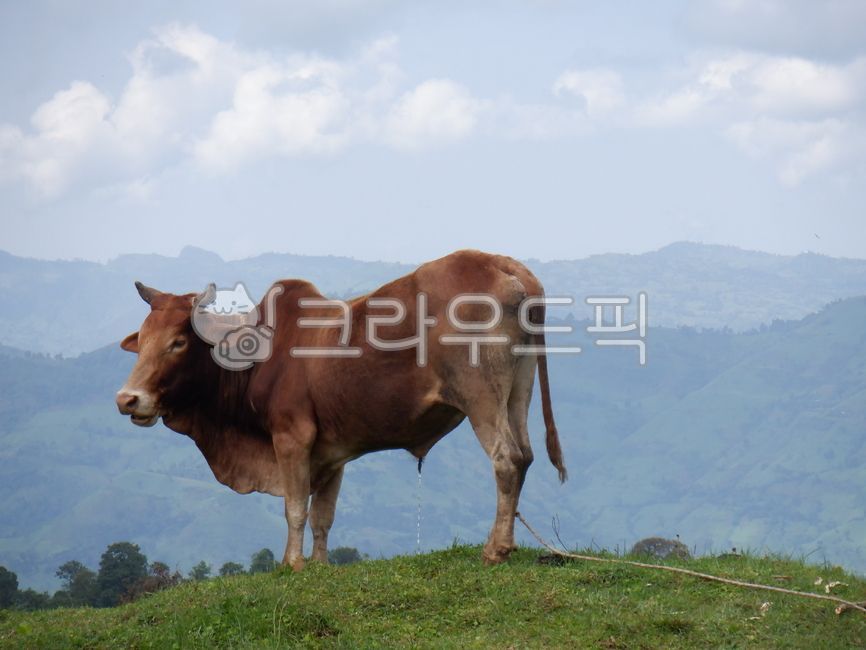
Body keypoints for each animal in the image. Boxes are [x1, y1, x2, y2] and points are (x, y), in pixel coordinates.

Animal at [116, 249, 566, 570]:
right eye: (142, 340)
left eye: (178, 342)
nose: (127, 399)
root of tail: (507, 266)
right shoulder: (332, 453)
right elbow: (322, 516)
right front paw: (319, 565)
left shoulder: (291, 437)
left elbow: (295, 507)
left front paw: (292, 564)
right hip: (517, 391)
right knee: (525, 455)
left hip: (481, 398)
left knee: (506, 459)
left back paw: (495, 549)